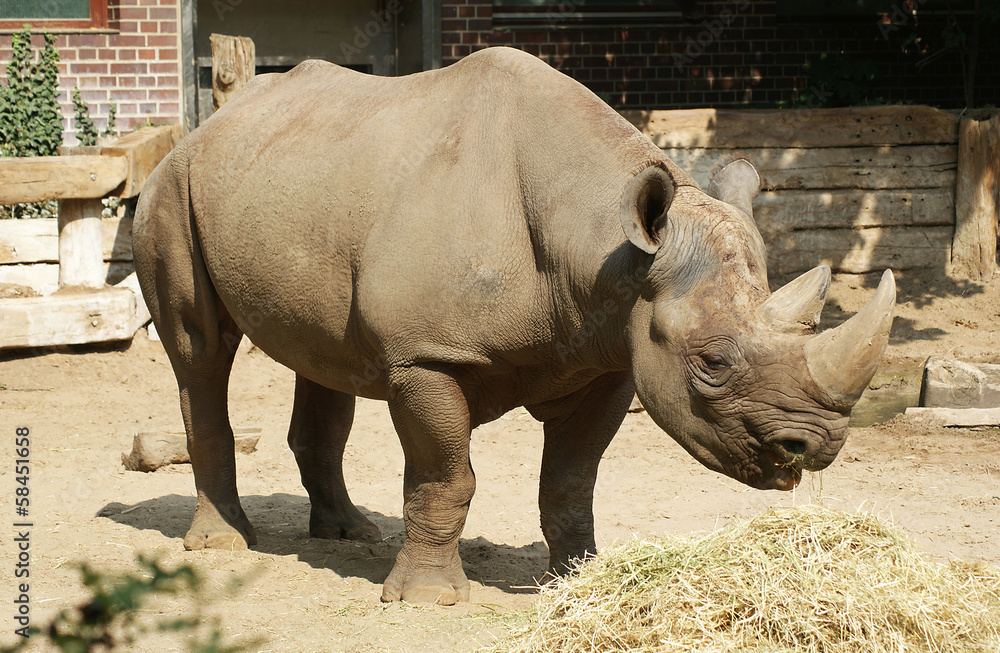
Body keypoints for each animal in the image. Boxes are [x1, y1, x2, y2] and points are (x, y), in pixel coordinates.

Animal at [132, 47, 895, 605]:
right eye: (712, 362)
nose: (817, 446)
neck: (604, 245)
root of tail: (207, 124)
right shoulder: (427, 355)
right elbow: (446, 476)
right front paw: (427, 600)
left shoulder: (610, 353)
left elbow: (571, 479)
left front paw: (580, 580)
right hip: (172, 187)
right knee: (200, 353)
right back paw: (225, 543)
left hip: (291, 183)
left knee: (321, 355)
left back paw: (350, 534)